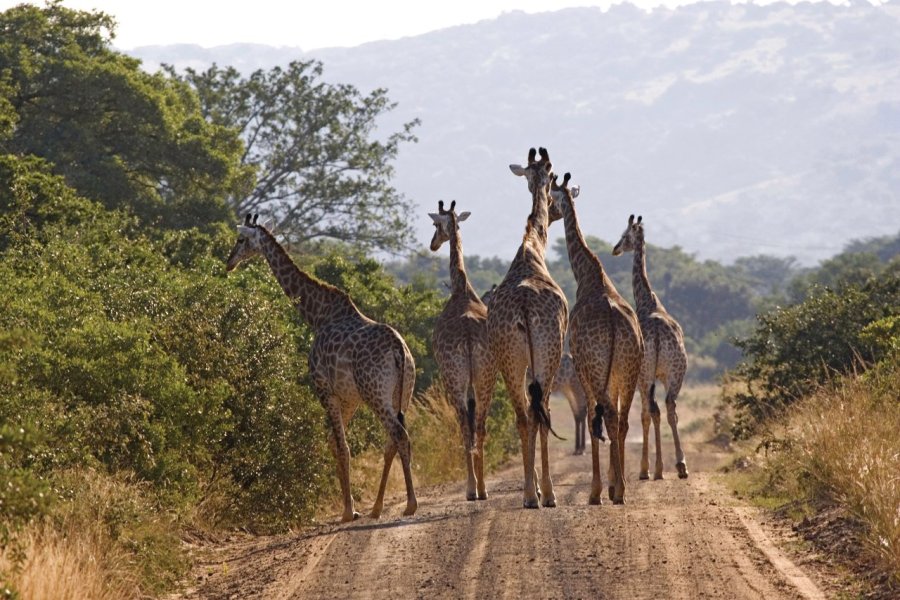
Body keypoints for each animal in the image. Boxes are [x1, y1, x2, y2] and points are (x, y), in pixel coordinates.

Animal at [229, 214, 418, 520]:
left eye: (241, 239)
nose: (229, 261)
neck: (316, 315)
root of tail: (399, 351)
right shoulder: (348, 397)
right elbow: (333, 442)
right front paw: (351, 507)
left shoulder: (323, 388)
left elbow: (342, 446)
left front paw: (348, 511)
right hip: (403, 393)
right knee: (392, 440)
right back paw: (377, 507)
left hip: (375, 393)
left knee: (398, 434)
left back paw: (410, 504)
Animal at [544, 175, 644, 506]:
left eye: (552, 195)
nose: (548, 212)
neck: (588, 276)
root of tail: (613, 322)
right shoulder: (613, 375)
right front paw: (612, 484)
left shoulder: (583, 370)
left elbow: (591, 421)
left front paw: (598, 490)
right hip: (628, 371)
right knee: (622, 421)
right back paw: (620, 488)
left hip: (596, 370)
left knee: (605, 418)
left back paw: (609, 491)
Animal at [612, 214, 688, 478]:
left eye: (624, 235)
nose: (615, 249)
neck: (647, 302)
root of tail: (656, 334)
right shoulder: (660, 375)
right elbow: (659, 413)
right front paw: (660, 466)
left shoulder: (640, 378)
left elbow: (646, 415)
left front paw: (649, 467)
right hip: (675, 373)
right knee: (670, 408)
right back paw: (681, 464)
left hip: (645, 376)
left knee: (651, 411)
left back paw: (651, 469)